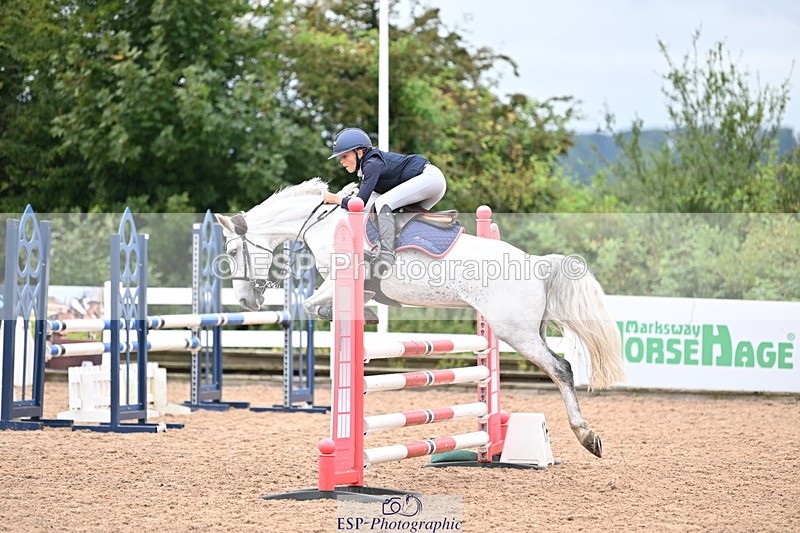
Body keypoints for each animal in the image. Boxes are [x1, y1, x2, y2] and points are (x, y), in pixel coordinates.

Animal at [215, 178, 625, 457]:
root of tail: (536, 264)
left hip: (515, 332)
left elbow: (313, 306)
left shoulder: (339, 280)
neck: (323, 223)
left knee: (561, 369)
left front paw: (355, 315)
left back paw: (587, 437)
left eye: (233, 252)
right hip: (523, 330)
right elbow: (320, 307)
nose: (246, 299)